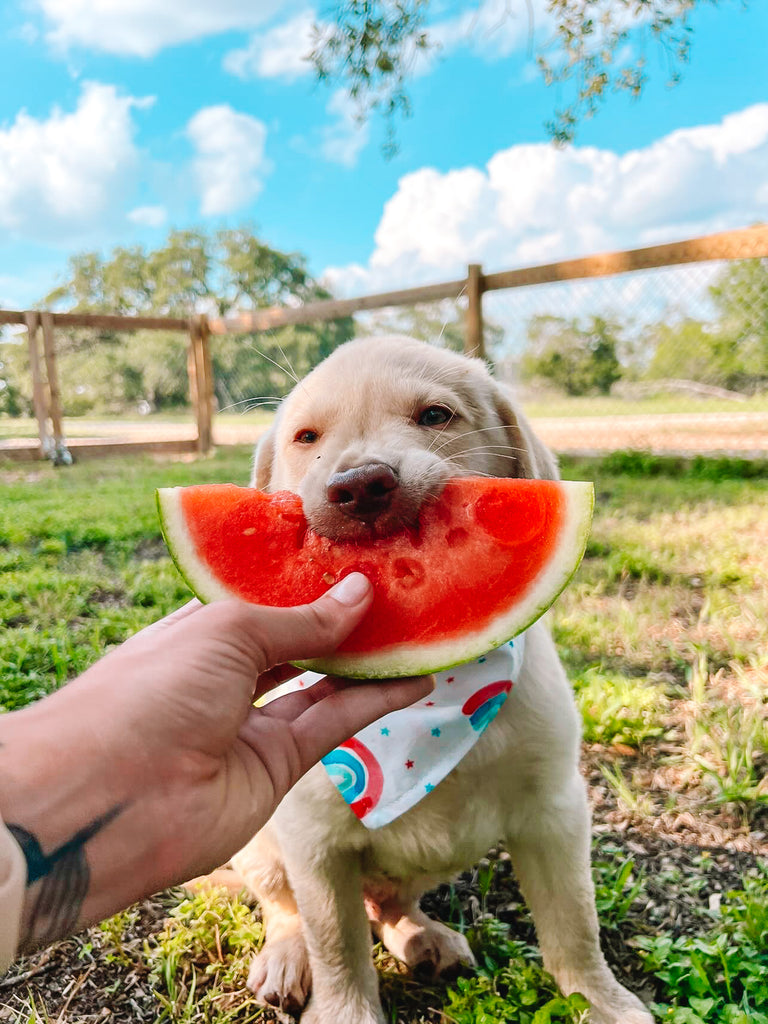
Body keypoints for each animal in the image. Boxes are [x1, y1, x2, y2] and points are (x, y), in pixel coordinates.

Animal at [233, 337, 651, 1024]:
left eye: (435, 415)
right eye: (306, 438)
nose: (360, 485)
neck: (436, 697)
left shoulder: (556, 811)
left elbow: (574, 925)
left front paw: (601, 1000)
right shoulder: (315, 841)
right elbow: (337, 945)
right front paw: (345, 1009)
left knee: (390, 906)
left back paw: (421, 936)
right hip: (260, 845)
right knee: (289, 909)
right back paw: (288, 957)